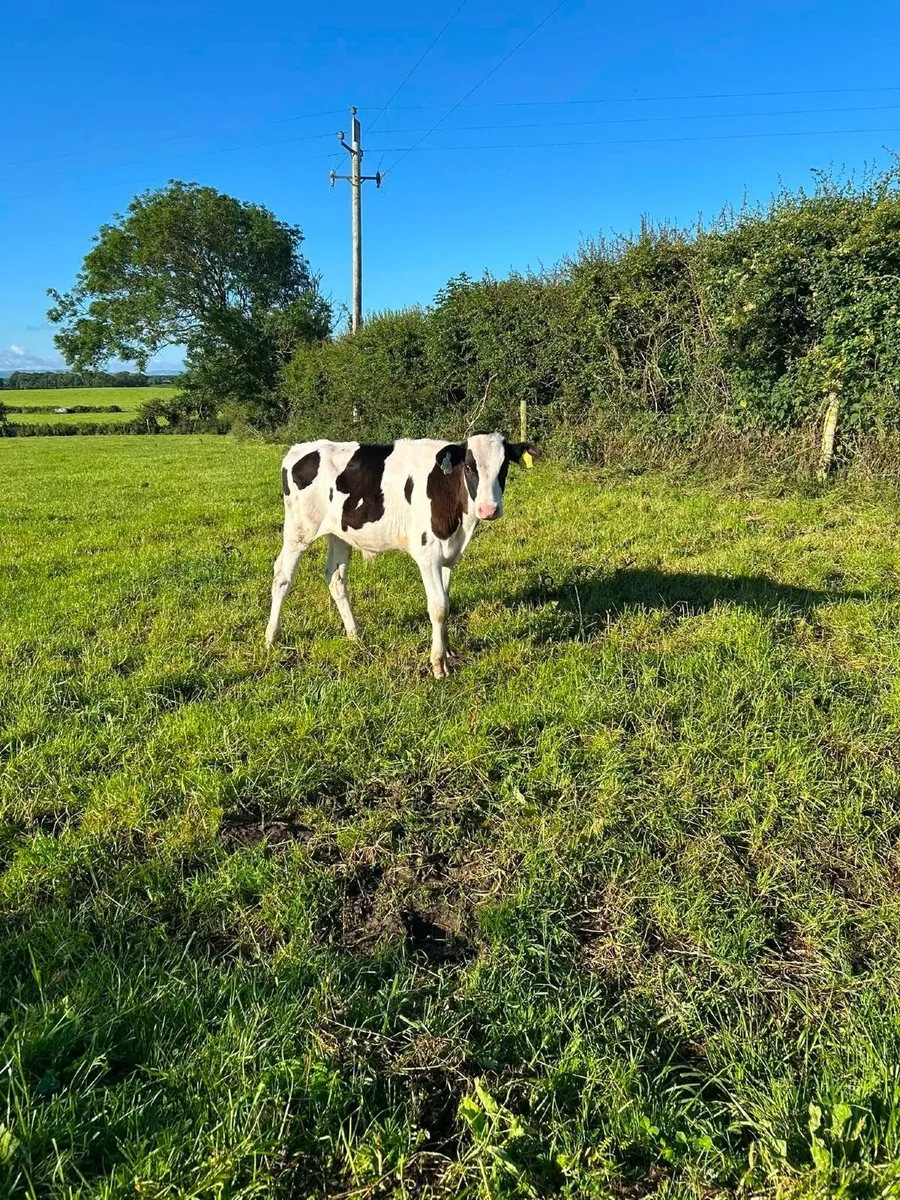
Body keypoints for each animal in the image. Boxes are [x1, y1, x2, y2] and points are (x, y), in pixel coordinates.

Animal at [265, 432, 540, 677]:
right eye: (470, 468)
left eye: (503, 467)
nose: (488, 509)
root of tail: (301, 448)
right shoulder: (427, 554)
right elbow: (438, 607)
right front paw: (438, 665)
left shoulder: (448, 555)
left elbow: (446, 601)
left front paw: (448, 650)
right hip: (299, 530)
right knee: (282, 577)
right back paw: (271, 637)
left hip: (339, 533)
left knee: (336, 579)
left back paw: (355, 635)